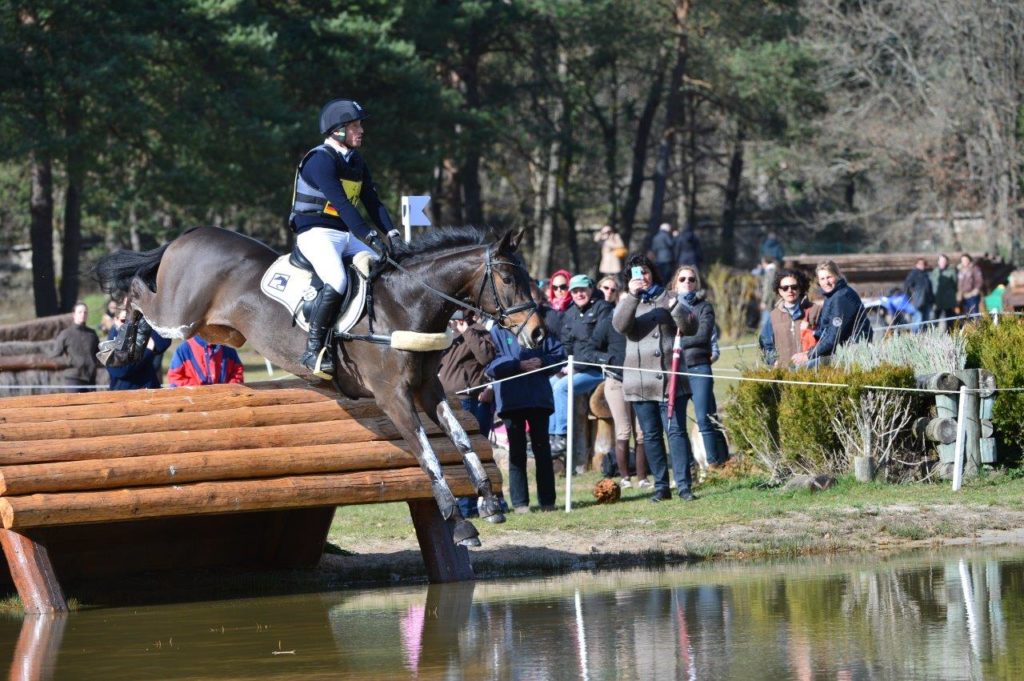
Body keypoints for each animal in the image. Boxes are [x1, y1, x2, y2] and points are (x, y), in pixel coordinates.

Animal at [92, 227, 548, 548]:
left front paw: (488, 501)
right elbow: (429, 455)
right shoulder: (393, 397)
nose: (538, 334)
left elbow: (461, 438)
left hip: (214, 328)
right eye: (508, 278)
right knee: (137, 291)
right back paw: (117, 348)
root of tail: (189, 234)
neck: (406, 303)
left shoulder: (428, 388)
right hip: (179, 317)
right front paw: (460, 523)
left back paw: (124, 346)